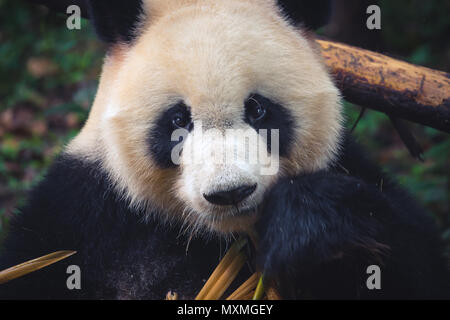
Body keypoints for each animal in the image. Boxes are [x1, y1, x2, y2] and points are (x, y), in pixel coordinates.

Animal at [0, 0, 448, 300]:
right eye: (178, 120)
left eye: (258, 108)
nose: (230, 192)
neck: (216, 236)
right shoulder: (82, 212)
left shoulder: (349, 164)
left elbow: (417, 261)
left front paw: (307, 225)